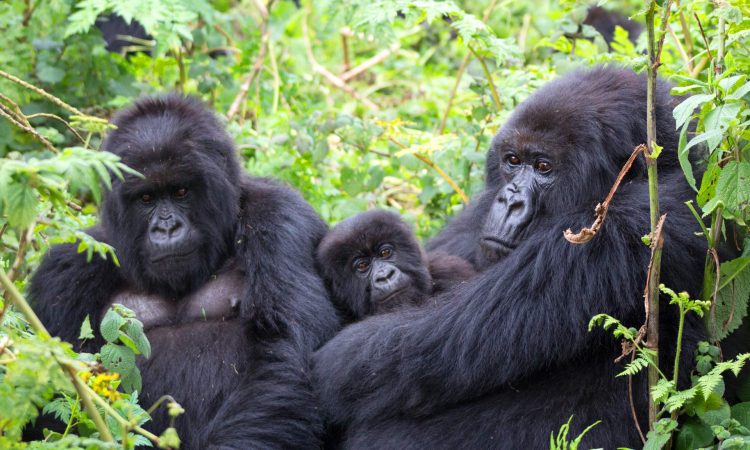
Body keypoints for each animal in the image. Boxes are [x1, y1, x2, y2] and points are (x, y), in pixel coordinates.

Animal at [29, 94, 340, 446]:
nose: (166, 228)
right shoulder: (66, 269)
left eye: (180, 191)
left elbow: (284, 350)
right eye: (146, 198)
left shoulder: (280, 219)